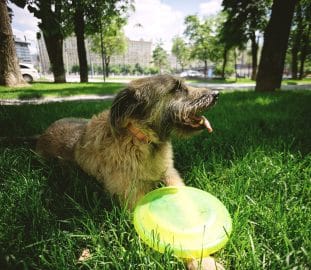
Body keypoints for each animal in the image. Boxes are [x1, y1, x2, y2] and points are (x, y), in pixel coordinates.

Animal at [36, 74, 222, 270]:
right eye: (176, 88)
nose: (216, 94)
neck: (142, 140)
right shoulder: (134, 199)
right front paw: (204, 262)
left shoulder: (170, 177)